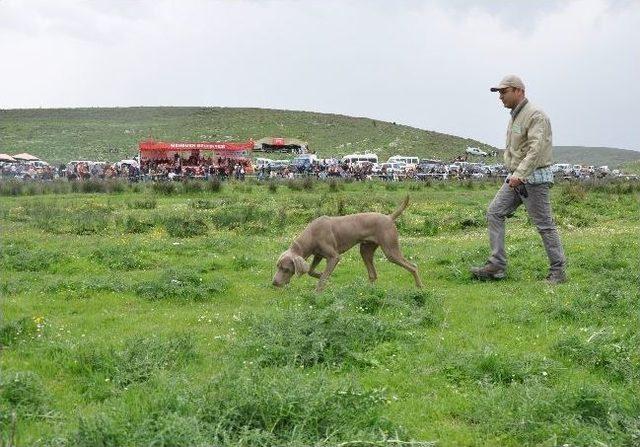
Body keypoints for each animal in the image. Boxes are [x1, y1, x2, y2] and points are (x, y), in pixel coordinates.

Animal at [272, 198, 422, 292]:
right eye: (277, 266)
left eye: (286, 269)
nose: (274, 283)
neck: (311, 235)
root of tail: (389, 217)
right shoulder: (318, 255)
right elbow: (311, 271)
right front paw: (322, 275)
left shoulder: (334, 257)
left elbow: (323, 278)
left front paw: (318, 291)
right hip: (366, 250)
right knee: (373, 274)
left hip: (390, 250)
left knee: (413, 266)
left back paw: (419, 287)